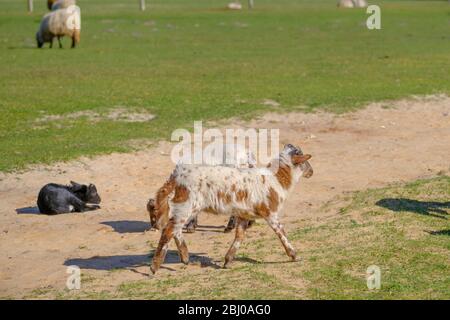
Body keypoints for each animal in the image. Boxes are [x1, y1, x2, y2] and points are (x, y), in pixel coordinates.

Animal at [149, 144, 312, 274]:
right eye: (305, 160)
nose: (312, 172)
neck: (278, 179)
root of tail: (178, 173)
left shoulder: (245, 215)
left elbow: (239, 237)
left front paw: (228, 260)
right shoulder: (270, 213)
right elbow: (281, 233)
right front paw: (294, 255)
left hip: (186, 206)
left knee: (175, 229)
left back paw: (185, 257)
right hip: (187, 204)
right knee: (169, 230)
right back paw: (155, 267)